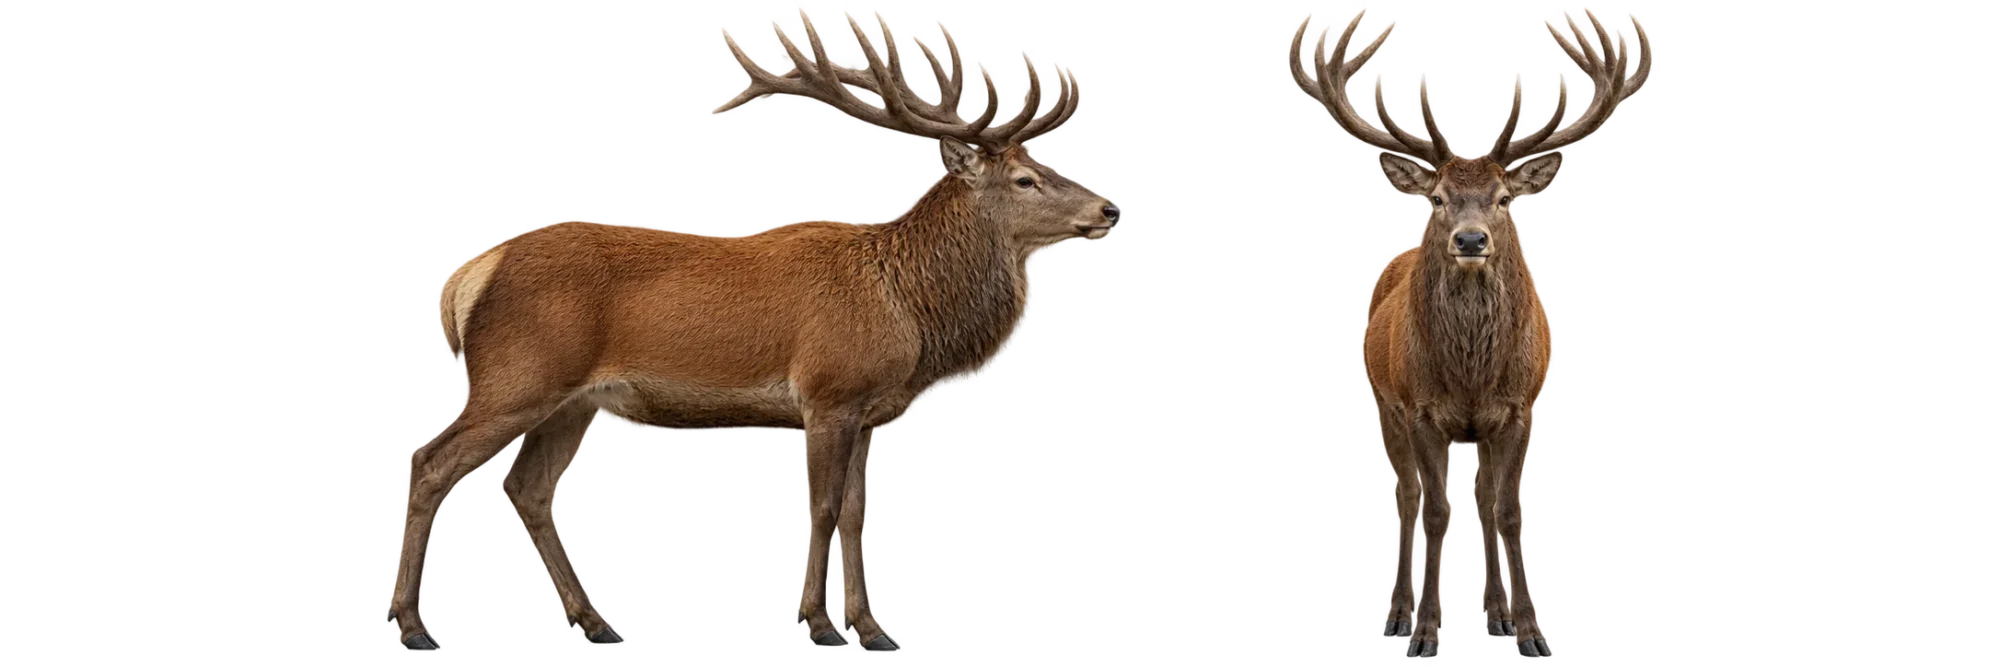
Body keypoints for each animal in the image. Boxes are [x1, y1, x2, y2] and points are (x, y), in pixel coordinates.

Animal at [387, 8, 1118, 654]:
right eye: (1024, 179)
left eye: (1047, 165)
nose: (1110, 208)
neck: (908, 314)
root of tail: (472, 272)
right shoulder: (828, 391)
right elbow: (821, 507)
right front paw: (819, 624)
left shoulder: (869, 411)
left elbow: (856, 514)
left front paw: (873, 628)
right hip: (517, 375)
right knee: (431, 462)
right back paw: (413, 626)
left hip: (572, 403)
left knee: (528, 487)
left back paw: (597, 622)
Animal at [1284, 6, 1653, 660]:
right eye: (1436, 199)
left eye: (1505, 198)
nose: (1472, 239)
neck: (1472, 376)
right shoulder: (1421, 409)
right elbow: (1434, 510)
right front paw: (1426, 634)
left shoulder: (1521, 408)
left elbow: (1505, 512)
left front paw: (1530, 633)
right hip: (1382, 400)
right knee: (1406, 496)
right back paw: (1399, 615)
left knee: (1481, 501)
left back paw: (1497, 617)